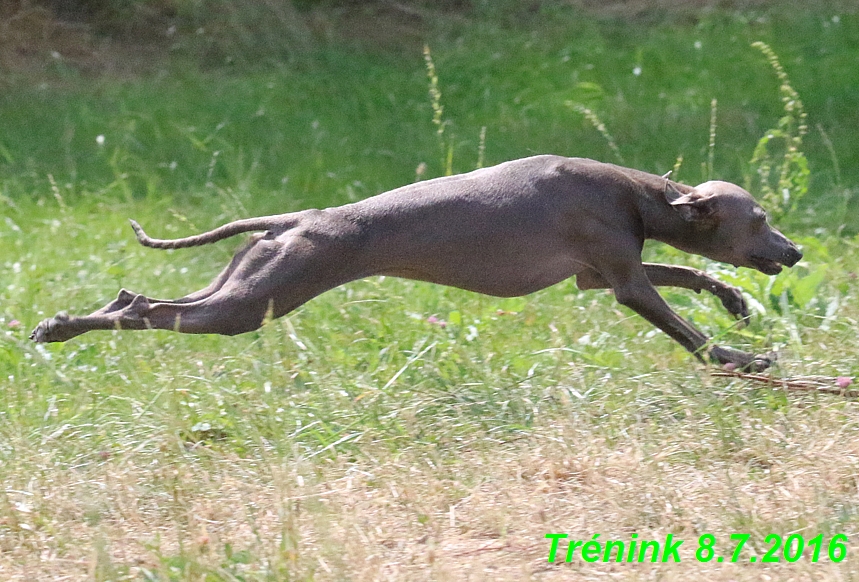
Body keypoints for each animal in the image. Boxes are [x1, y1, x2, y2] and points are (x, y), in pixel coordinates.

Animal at [30, 155, 804, 372]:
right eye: (761, 219)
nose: (794, 251)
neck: (634, 194)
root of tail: (294, 220)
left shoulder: (598, 273)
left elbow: (695, 275)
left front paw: (733, 302)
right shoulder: (622, 281)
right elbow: (688, 333)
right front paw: (740, 359)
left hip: (244, 284)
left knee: (140, 301)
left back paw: (63, 325)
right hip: (253, 304)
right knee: (148, 310)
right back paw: (59, 329)